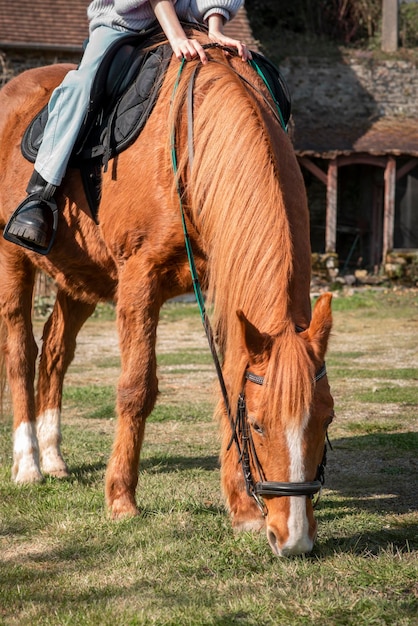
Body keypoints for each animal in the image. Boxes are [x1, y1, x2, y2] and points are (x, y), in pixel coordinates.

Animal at [0, 34, 334, 552]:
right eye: (259, 424)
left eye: (327, 419)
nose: (294, 537)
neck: (187, 150)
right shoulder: (140, 279)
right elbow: (136, 389)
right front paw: (120, 500)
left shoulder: (223, 288)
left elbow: (228, 382)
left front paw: (242, 510)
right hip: (13, 258)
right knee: (20, 352)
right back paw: (29, 464)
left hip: (80, 277)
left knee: (54, 353)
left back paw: (53, 459)